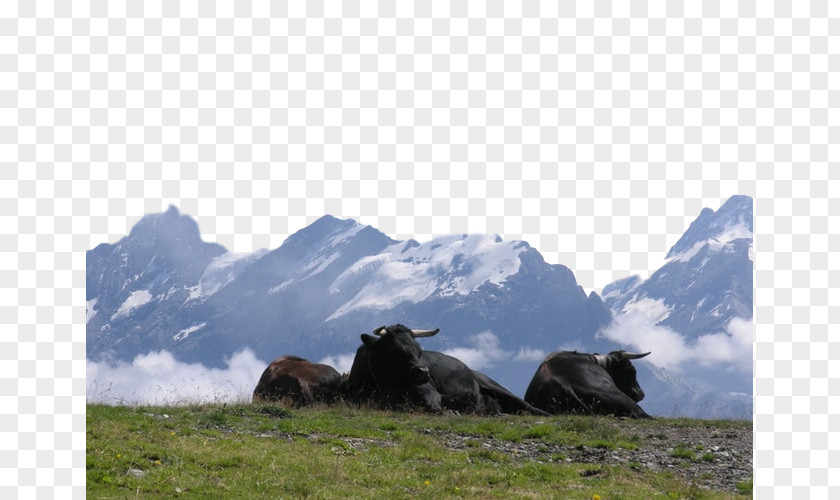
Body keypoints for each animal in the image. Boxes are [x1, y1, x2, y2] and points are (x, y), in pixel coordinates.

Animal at [346, 324, 548, 414]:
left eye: (419, 350)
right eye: (396, 351)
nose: (424, 372)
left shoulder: (431, 393)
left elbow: (435, 408)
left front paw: (452, 410)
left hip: (496, 388)